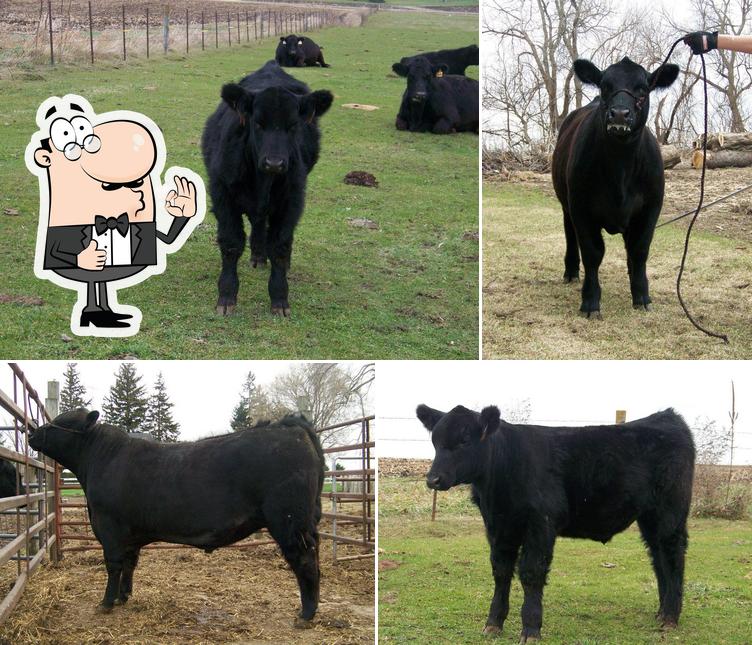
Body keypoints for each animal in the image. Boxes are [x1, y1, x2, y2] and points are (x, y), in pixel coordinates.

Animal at [29, 408, 325, 624]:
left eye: (60, 422)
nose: (32, 432)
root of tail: (291, 426)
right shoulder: (129, 535)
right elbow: (129, 564)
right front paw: (124, 597)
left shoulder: (109, 527)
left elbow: (113, 565)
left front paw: (105, 603)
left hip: (289, 520)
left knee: (305, 559)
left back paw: (306, 615)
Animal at [201, 61, 333, 316]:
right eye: (258, 124)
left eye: (293, 126)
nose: (274, 163)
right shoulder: (223, 195)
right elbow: (231, 243)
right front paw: (226, 296)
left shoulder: (292, 200)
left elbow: (280, 246)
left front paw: (280, 299)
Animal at [417, 404, 695, 642]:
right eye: (435, 441)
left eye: (465, 440)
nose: (433, 479)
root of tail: (667, 416)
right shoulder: (498, 526)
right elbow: (501, 571)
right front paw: (493, 623)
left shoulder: (541, 523)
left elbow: (531, 573)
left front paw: (530, 629)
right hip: (649, 517)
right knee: (658, 557)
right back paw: (662, 611)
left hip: (670, 511)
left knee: (673, 554)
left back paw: (670, 616)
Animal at [552, 57, 679, 318]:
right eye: (605, 87)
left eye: (643, 89)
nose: (620, 113)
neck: (621, 168)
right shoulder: (581, 208)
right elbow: (593, 253)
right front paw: (590, 302)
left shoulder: (651, 207)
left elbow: (639, 249)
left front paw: (641, 296)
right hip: (566, 204)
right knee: (570, 234)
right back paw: (571, 271)